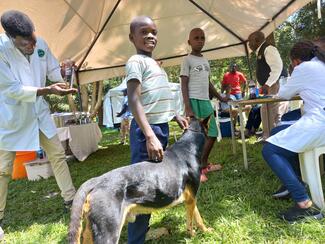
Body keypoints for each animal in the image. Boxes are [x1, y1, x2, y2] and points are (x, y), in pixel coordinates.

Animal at [68, 117, 211, 243]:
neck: (188, 145)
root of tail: (96, 180)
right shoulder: (191, 197)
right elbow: (192, 221)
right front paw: (195, 235)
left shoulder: (190, 198)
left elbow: (197, 216)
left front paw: (204, 231)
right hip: (109, 233)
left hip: (90, 231)